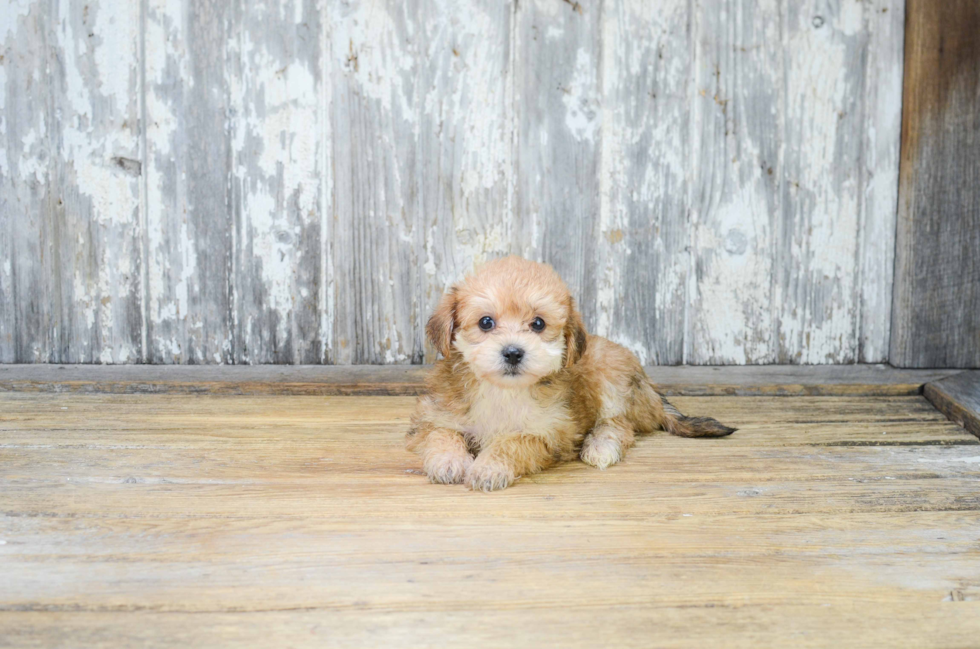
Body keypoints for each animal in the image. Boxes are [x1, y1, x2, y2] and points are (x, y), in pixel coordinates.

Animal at [406, 256, 736, 488]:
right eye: (486, 322)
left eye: (538, 324)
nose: (512, 352)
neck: (504, 391)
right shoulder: (434, 414)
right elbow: (441, 433)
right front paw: (448, 462)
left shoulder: (549, 434)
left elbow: (514, 442)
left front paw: (489, 467)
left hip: (611, 379)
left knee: (620, 424)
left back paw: (601, 446)